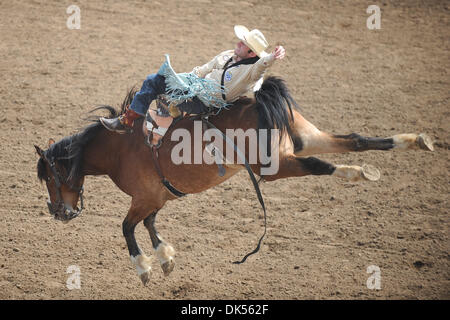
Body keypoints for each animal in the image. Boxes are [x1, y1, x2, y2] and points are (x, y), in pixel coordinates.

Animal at [33, 76, 434, 284]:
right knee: (354, 139)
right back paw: (414, 141)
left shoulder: (143, 197)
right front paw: (165, 259)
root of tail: (259, 97)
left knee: (318, 163)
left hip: (273, 166)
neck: (119, 146)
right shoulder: (157, 197)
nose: (58, 212)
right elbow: (149, 225)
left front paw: (144, 268)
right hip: (304, 135)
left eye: (50, 177)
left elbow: (128, 227)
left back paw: (357, 173)